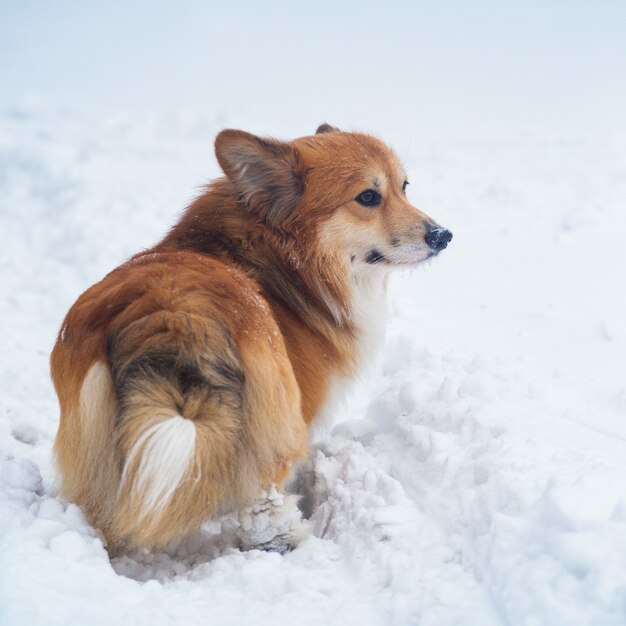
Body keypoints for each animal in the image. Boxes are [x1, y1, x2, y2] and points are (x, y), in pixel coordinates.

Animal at [48, 123, 448, 552]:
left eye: (404, 187)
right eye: (368, 197)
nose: (443, 235)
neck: (285, 259)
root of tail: (169, 313)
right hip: (275, 415)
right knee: (261, 504)